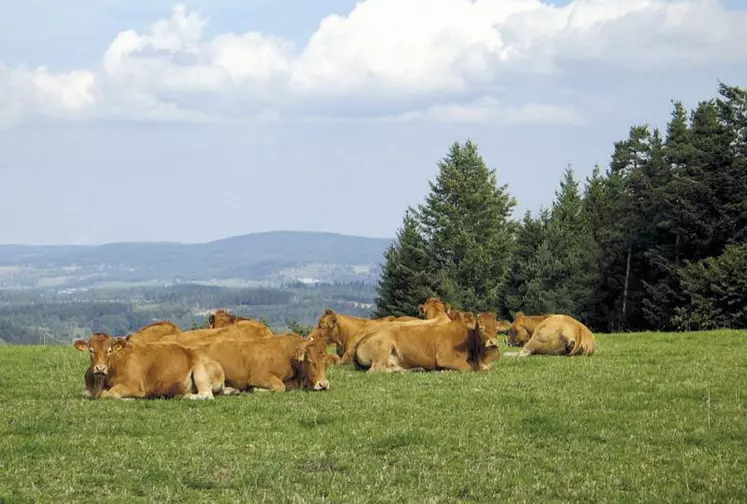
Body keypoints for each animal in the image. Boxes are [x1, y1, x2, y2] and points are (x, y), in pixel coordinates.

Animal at [191, 332, 332, 392]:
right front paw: (257, 389)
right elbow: (280, 387)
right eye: (310, 361)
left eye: (326, 363)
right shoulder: (259, 377)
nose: (323, 384)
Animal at [352, 310, 502, 372]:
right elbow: (468, 368)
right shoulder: (445, 357)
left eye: (497, 329)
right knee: (376, 369)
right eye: (481, 328)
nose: (493, 342)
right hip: (383, 347)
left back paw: (415, 369)